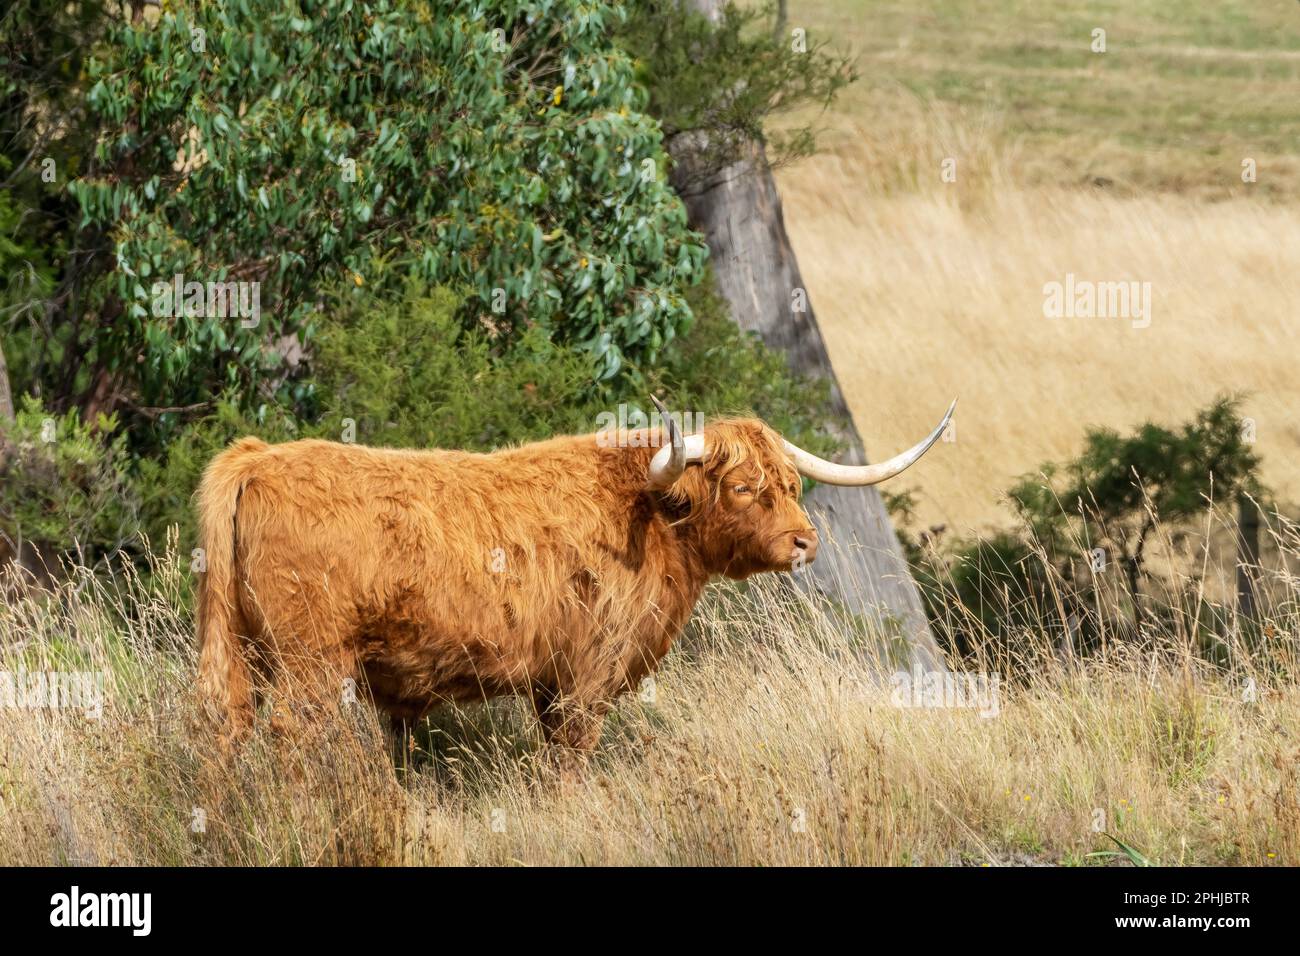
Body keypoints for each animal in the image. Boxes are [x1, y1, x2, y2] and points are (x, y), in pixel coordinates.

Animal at [195, 397, 954, 756]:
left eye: (793, 484)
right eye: (743, 488)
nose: (805, 541)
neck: (649, 517)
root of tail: (256, 457)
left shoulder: (548, 679)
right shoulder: (588, 672)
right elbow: (571, 757)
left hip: (234, 647)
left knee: (224, 730)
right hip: (311, 660)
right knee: (290, 736)